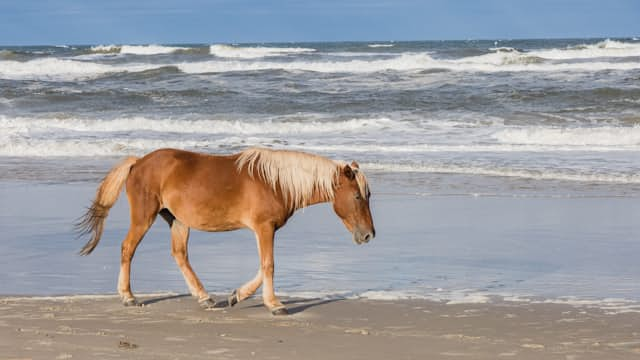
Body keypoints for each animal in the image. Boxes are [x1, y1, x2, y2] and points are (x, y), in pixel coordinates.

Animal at [75, 147, 376, 316]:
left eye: (368, 195)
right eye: (358, 196)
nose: (369, 235)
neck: (276, 182)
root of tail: (138, 163)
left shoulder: (265, 229)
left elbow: (263, 266)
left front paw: (237, 295)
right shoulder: (264, 227)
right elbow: (269, 265)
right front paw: (275, 305)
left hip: (178, 221)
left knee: (180, 255)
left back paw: (205, 298)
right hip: (144, 217)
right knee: (128, 248)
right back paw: (128, 297)